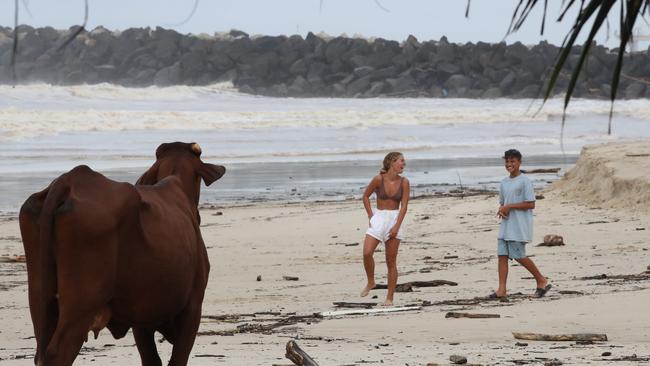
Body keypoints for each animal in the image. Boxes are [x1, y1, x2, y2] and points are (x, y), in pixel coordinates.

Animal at [19, 143, 225, 366]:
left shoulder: (141, 317)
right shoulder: (192, 308)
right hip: (80, 306)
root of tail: (69, 180)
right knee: (57, 353)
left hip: (41, 301)